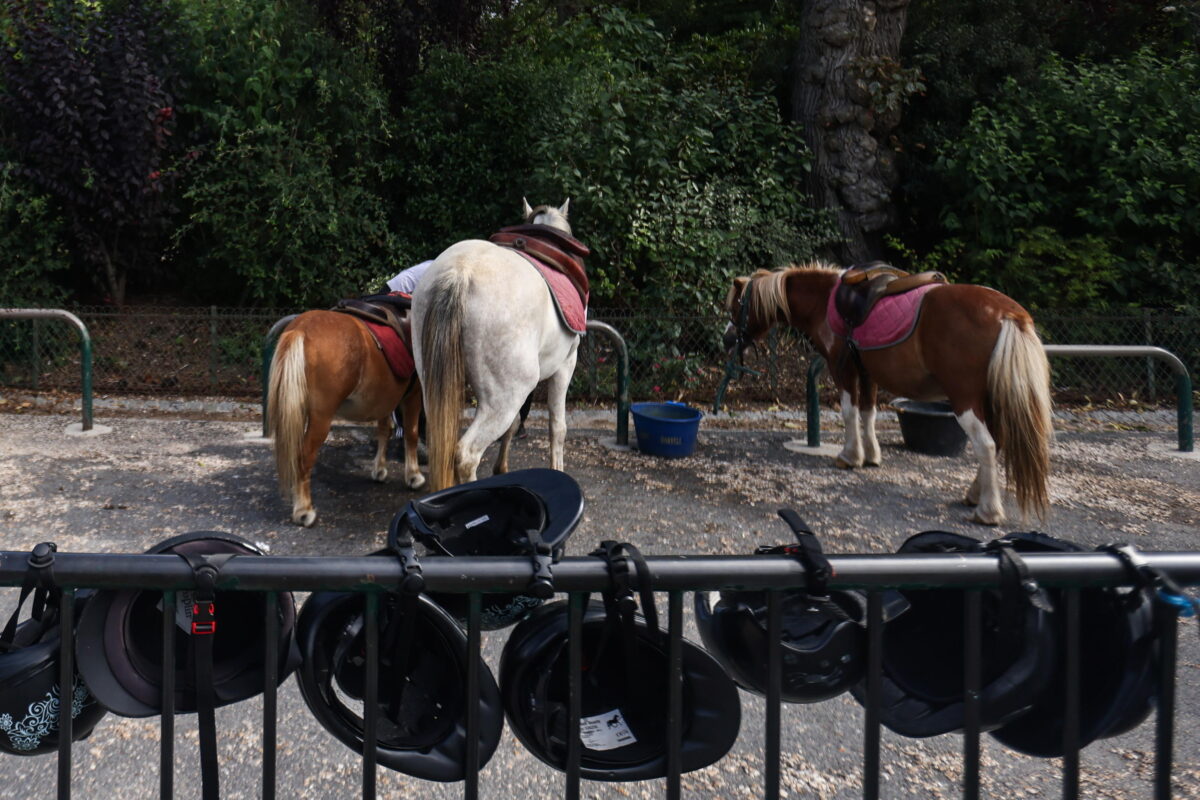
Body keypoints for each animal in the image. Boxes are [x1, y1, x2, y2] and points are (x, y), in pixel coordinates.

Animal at [268, 309, 427, 527]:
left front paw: (379, 469)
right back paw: (304, 510)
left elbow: (384, 430)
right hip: (321, 418)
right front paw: (413, 475)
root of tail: (301, 328)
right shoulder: (413, 394)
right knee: (304, 456)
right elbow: (411, 433)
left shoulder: (385, 398)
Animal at [412, 199, 580, 489]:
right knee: (466, 455)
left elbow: (514, 426)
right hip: (505, 396)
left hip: (433, 383)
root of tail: (461, 272)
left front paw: (501, 468)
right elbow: (558, 427)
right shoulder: (565, 366)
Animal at [720, 262, 1051, 525]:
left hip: (965, 399)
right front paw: (871, 456)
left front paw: (850, 456)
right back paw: (974, 495)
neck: (825, 302)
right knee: (997, 443)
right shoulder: (868, 374)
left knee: (986, 445)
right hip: (989, 399)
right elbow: (869, 413)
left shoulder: (843, 370)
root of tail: (1008, 314)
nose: (726, 339)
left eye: (736, 308)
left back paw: (987, 511)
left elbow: (849, 412)